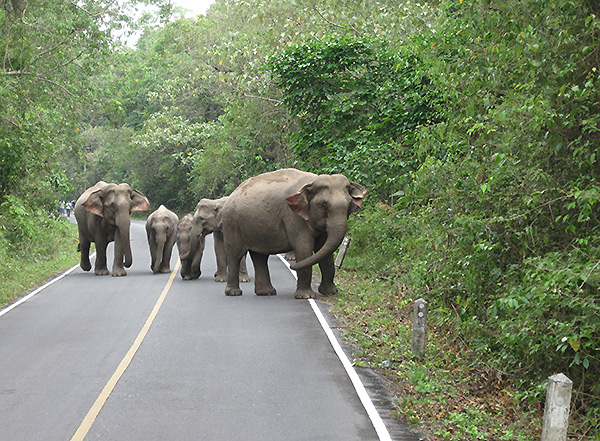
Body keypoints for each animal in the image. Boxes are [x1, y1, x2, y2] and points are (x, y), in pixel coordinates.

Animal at [220, 168, 366, 300]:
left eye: (349, 204)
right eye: (324, 205)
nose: (291, 266)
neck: (311, 182)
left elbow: (324, 251)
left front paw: (330, 292)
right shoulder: (293, 216)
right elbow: (304, 249)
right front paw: (306, 296)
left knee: (260, 256)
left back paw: (266, 292)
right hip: (231, 224)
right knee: (235, 255)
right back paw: (234, 293)